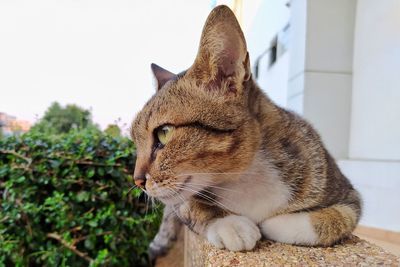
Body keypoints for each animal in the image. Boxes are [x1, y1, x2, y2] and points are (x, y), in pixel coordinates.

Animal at [130, 4, 362, 260]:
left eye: (164, 132)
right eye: (135, 141)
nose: (137, 180)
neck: (246, 177)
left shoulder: (347, 194)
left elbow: (338, 218)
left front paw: (277, 223)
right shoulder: (182, 201)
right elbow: (191, 204)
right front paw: (229, 224)